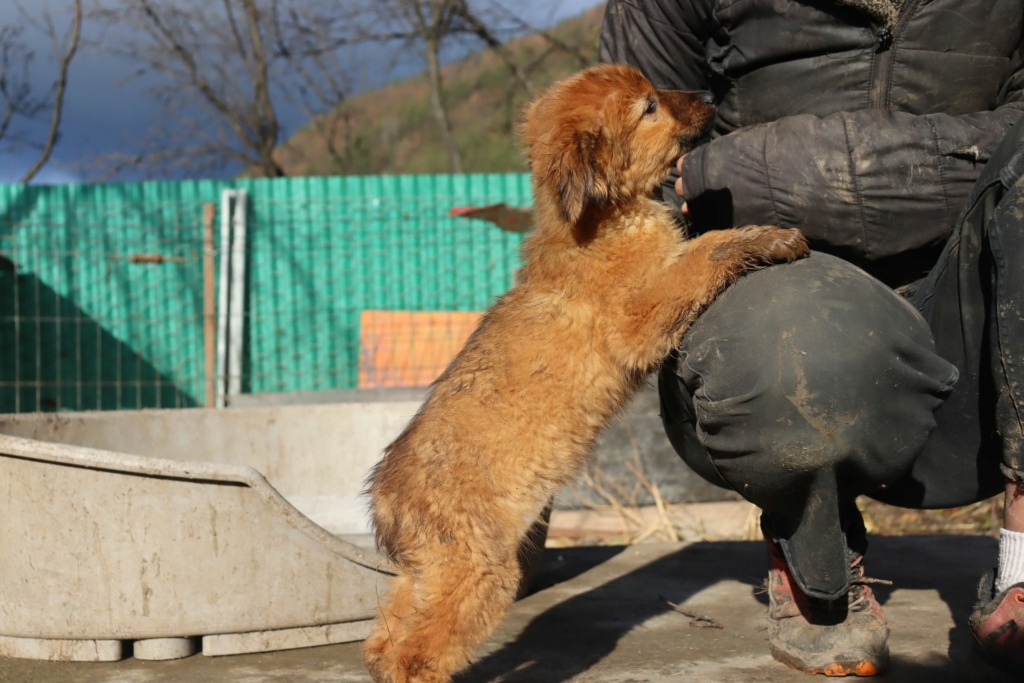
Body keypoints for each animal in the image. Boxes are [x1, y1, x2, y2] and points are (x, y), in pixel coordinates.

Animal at [362, 63, 806, 683]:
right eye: (648, 107)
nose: (708, 93)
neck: (604, 220)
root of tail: (385, 501)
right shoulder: (637, 317)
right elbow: (703, 254)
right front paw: (767, 238)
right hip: (479, 571)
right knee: (415, 654)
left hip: (428, 571)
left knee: (382, 641)